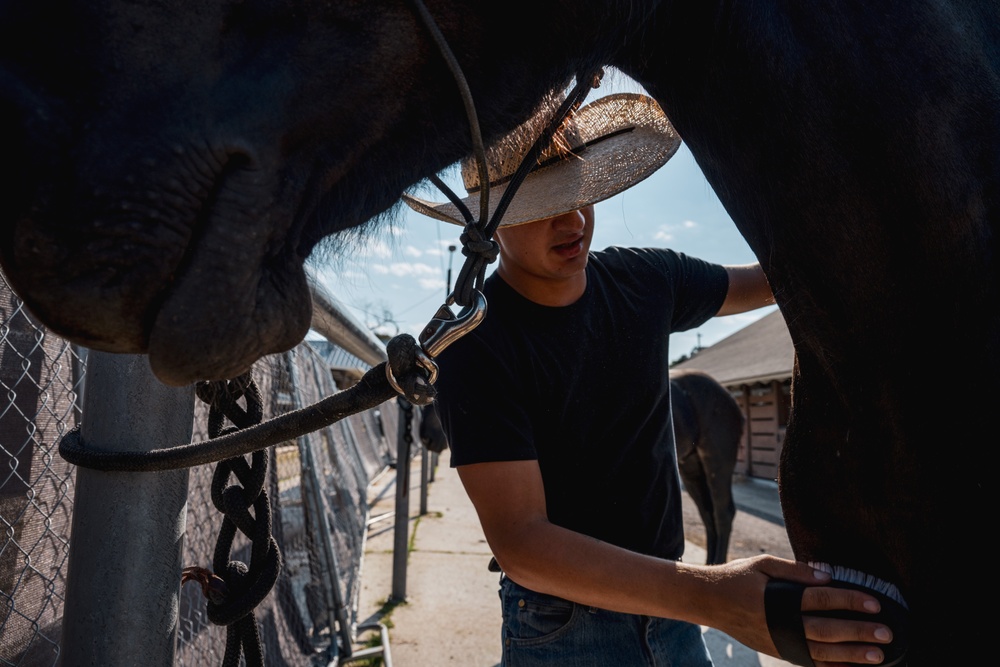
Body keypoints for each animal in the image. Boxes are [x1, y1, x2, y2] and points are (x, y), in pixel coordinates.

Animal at [672, 368, 744, 568]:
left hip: (718, 462)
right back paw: (709, 566)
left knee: (723, 513)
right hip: (691, 469)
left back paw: (719, 565)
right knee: (707, 513)